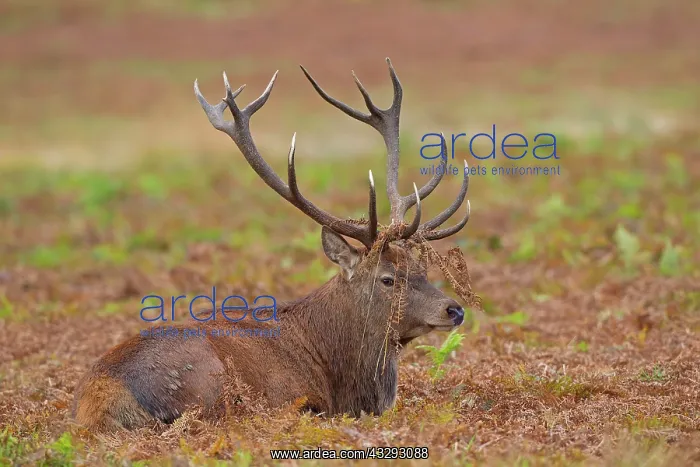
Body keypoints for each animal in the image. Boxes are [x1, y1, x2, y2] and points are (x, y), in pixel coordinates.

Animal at [72, 58, 472, 432]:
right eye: (387, 278)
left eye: (422, 269)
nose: (454, 310)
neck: (340, 376)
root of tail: (102, 396)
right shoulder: (295, 397)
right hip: (209, 387)